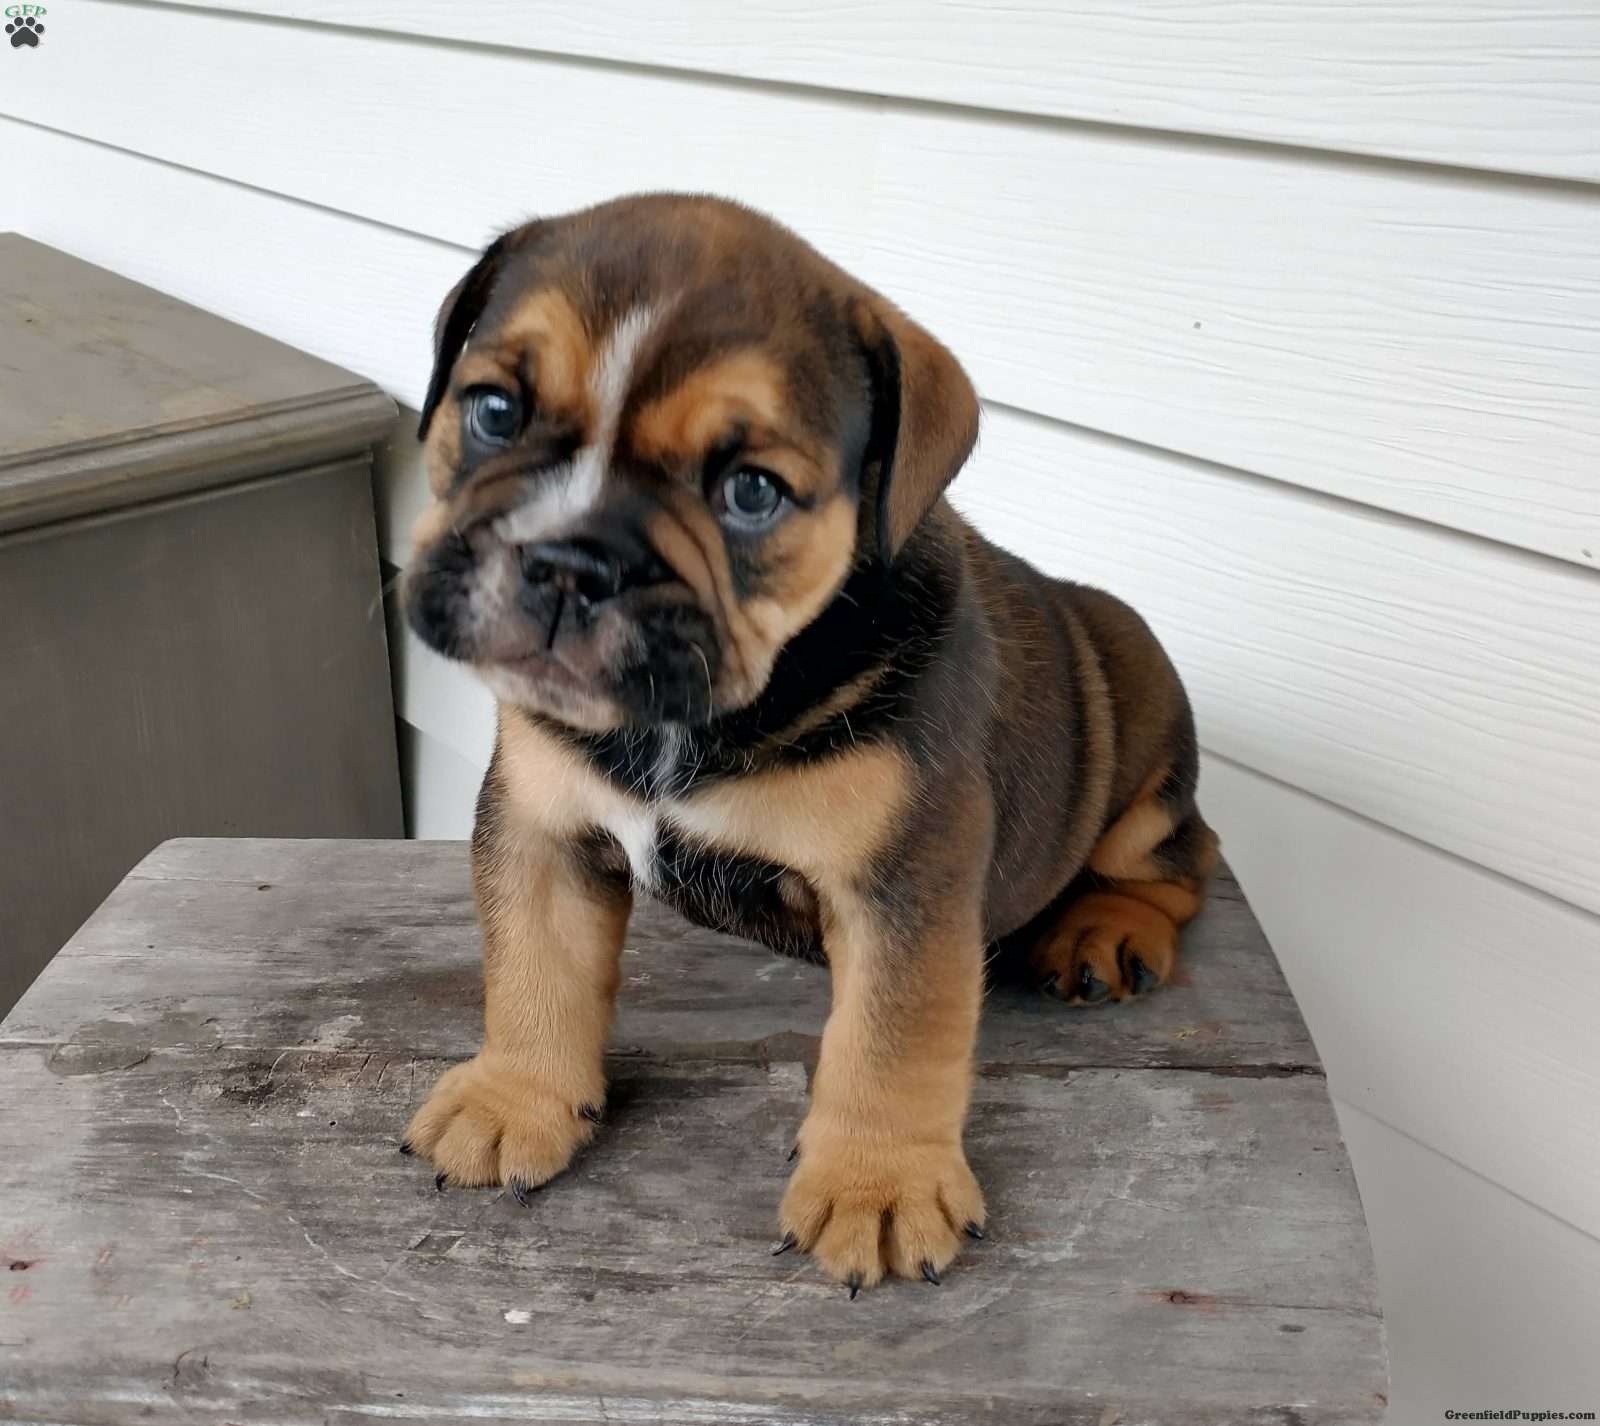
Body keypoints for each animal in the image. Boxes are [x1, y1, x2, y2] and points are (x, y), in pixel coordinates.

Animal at [400, 192, 1209, 1293]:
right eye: (493, 411)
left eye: (751, 492)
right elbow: (534, 970)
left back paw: (1104, 931)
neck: (695, 716)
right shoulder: (541, 831)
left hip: (1150, 758)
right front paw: (513, 1096)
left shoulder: (904, 881)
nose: (569, 561)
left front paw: (878, 1186)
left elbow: (890, 1042)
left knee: (1175, 866)